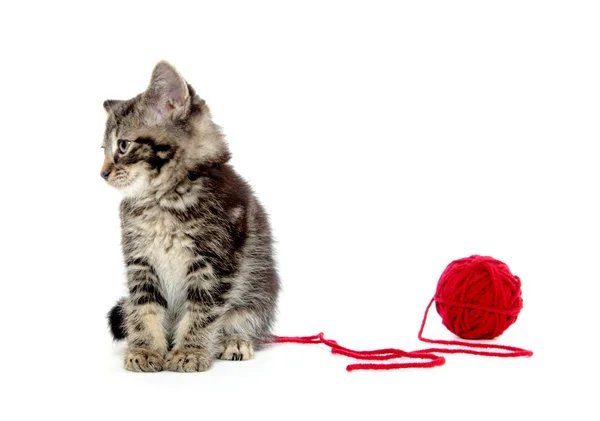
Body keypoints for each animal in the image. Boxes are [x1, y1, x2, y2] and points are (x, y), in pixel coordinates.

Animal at [102, 60, 280, 370]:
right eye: (103, 149)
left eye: (123, 145)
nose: (102, 173)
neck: (163, 200)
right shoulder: (140, 262)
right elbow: (143, 308)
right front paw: (145, 349)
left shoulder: (214, 264)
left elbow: (203, 311)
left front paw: (190, 351)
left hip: (259, 290)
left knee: (246, 318)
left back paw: (234, 340)